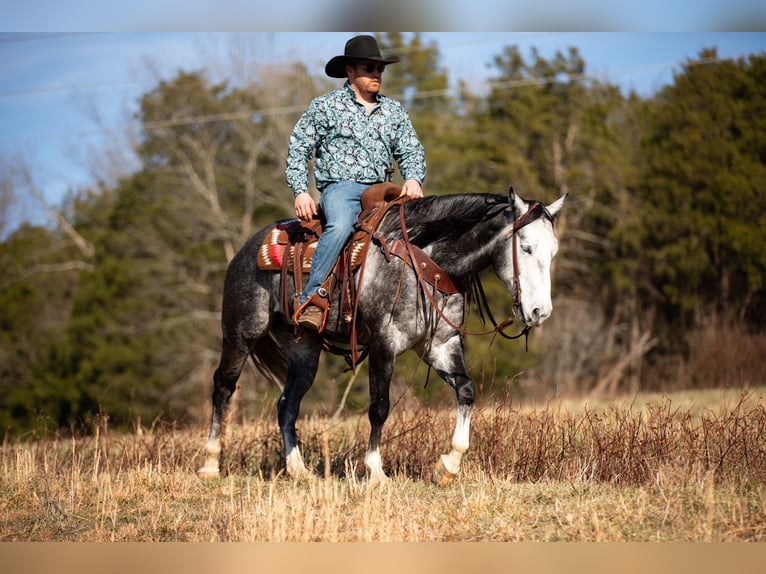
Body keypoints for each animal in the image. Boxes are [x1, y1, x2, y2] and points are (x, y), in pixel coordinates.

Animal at [197, 186, 567, 485]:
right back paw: (211, 464)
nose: (541, 312)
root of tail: (248, 248)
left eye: (553, 251)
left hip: (304, 350)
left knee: (287, 404)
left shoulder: (439, 346)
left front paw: (447, 466)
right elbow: (379, 406)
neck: (427, 259)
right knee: (223, 387)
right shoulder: (383, 345)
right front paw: (375, 471)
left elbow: (466, 391)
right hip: (240, 334)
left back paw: (298, 470)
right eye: (527, 248)